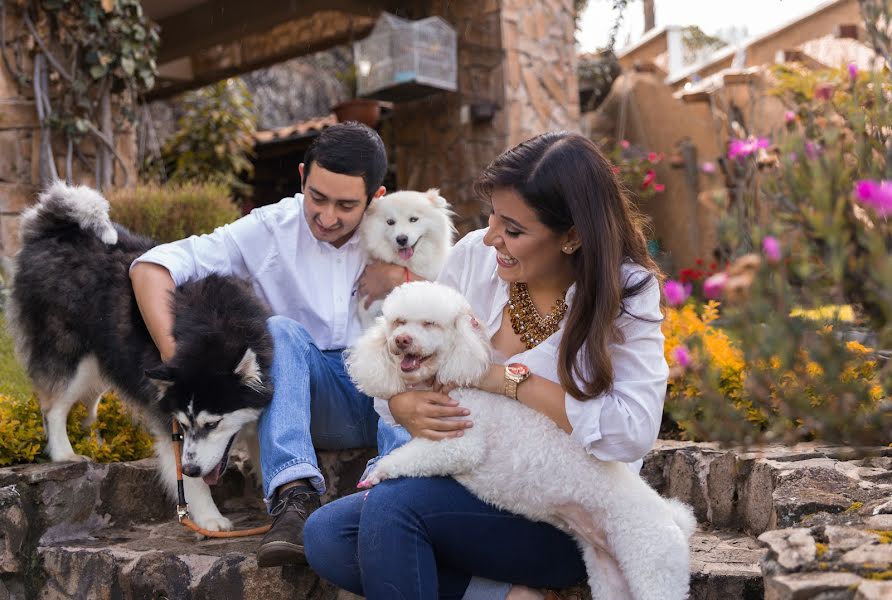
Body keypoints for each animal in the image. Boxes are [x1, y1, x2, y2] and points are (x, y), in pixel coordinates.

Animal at [344, 282, 700, 600]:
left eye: (430, 324)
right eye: (397, 322)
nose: (401, 340)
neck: (455, 378)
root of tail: (673, 521)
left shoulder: (459, 442)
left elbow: (411, 456)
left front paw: (378, 473)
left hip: (652, 567)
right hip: (609, 574)